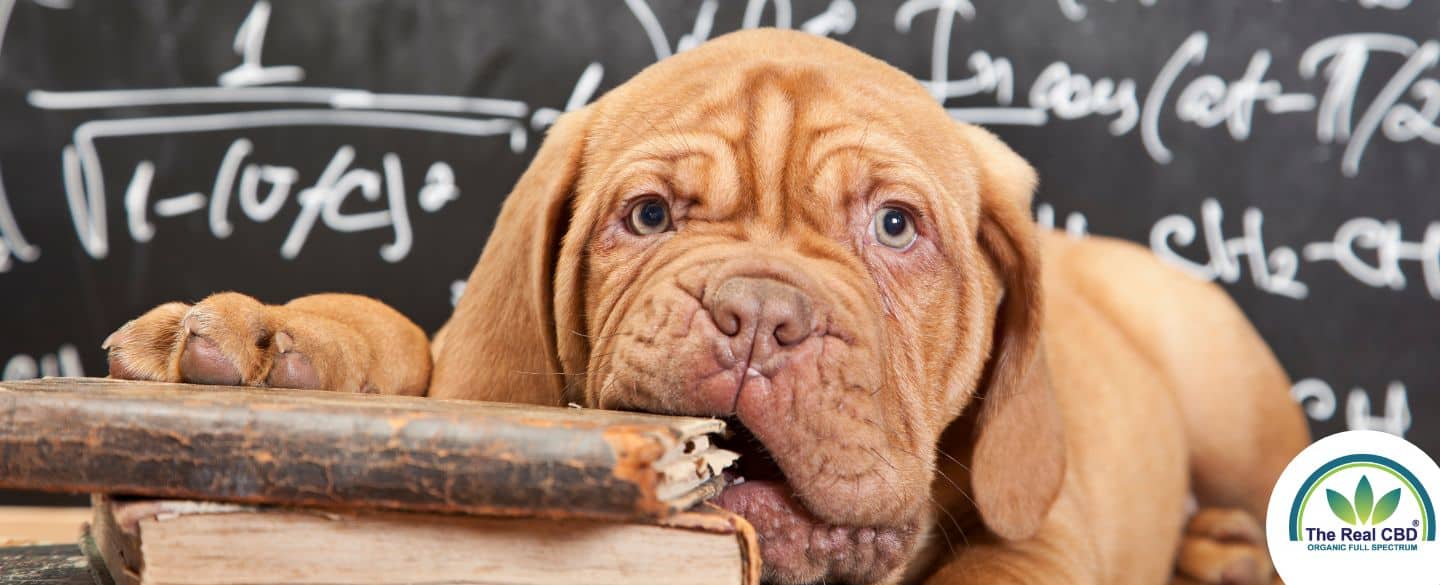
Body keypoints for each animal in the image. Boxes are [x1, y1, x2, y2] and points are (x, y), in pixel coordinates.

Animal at [106, 29, 1313, 582]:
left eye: (896, 227)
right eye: (647, 216)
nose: (760, 317)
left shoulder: (1045, 534)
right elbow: (398, 335)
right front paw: (271, 341)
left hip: (1233, 396)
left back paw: (1227, 545)